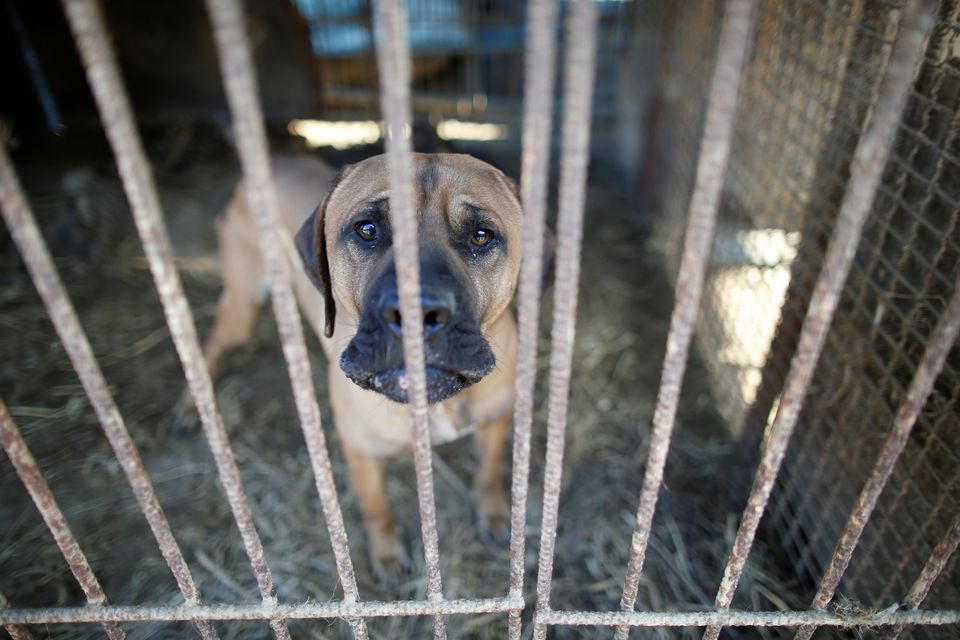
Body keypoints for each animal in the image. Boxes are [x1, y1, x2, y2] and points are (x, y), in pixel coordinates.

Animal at [176, 152, 552, 584]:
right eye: (367, 229)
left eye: (481, 235)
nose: (415, 313)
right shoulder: (361, 455)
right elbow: (377, 509)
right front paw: (386, 553)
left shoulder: (496, 421)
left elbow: (488, 474)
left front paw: (493, 514)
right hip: (243, 306)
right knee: (207, 346)